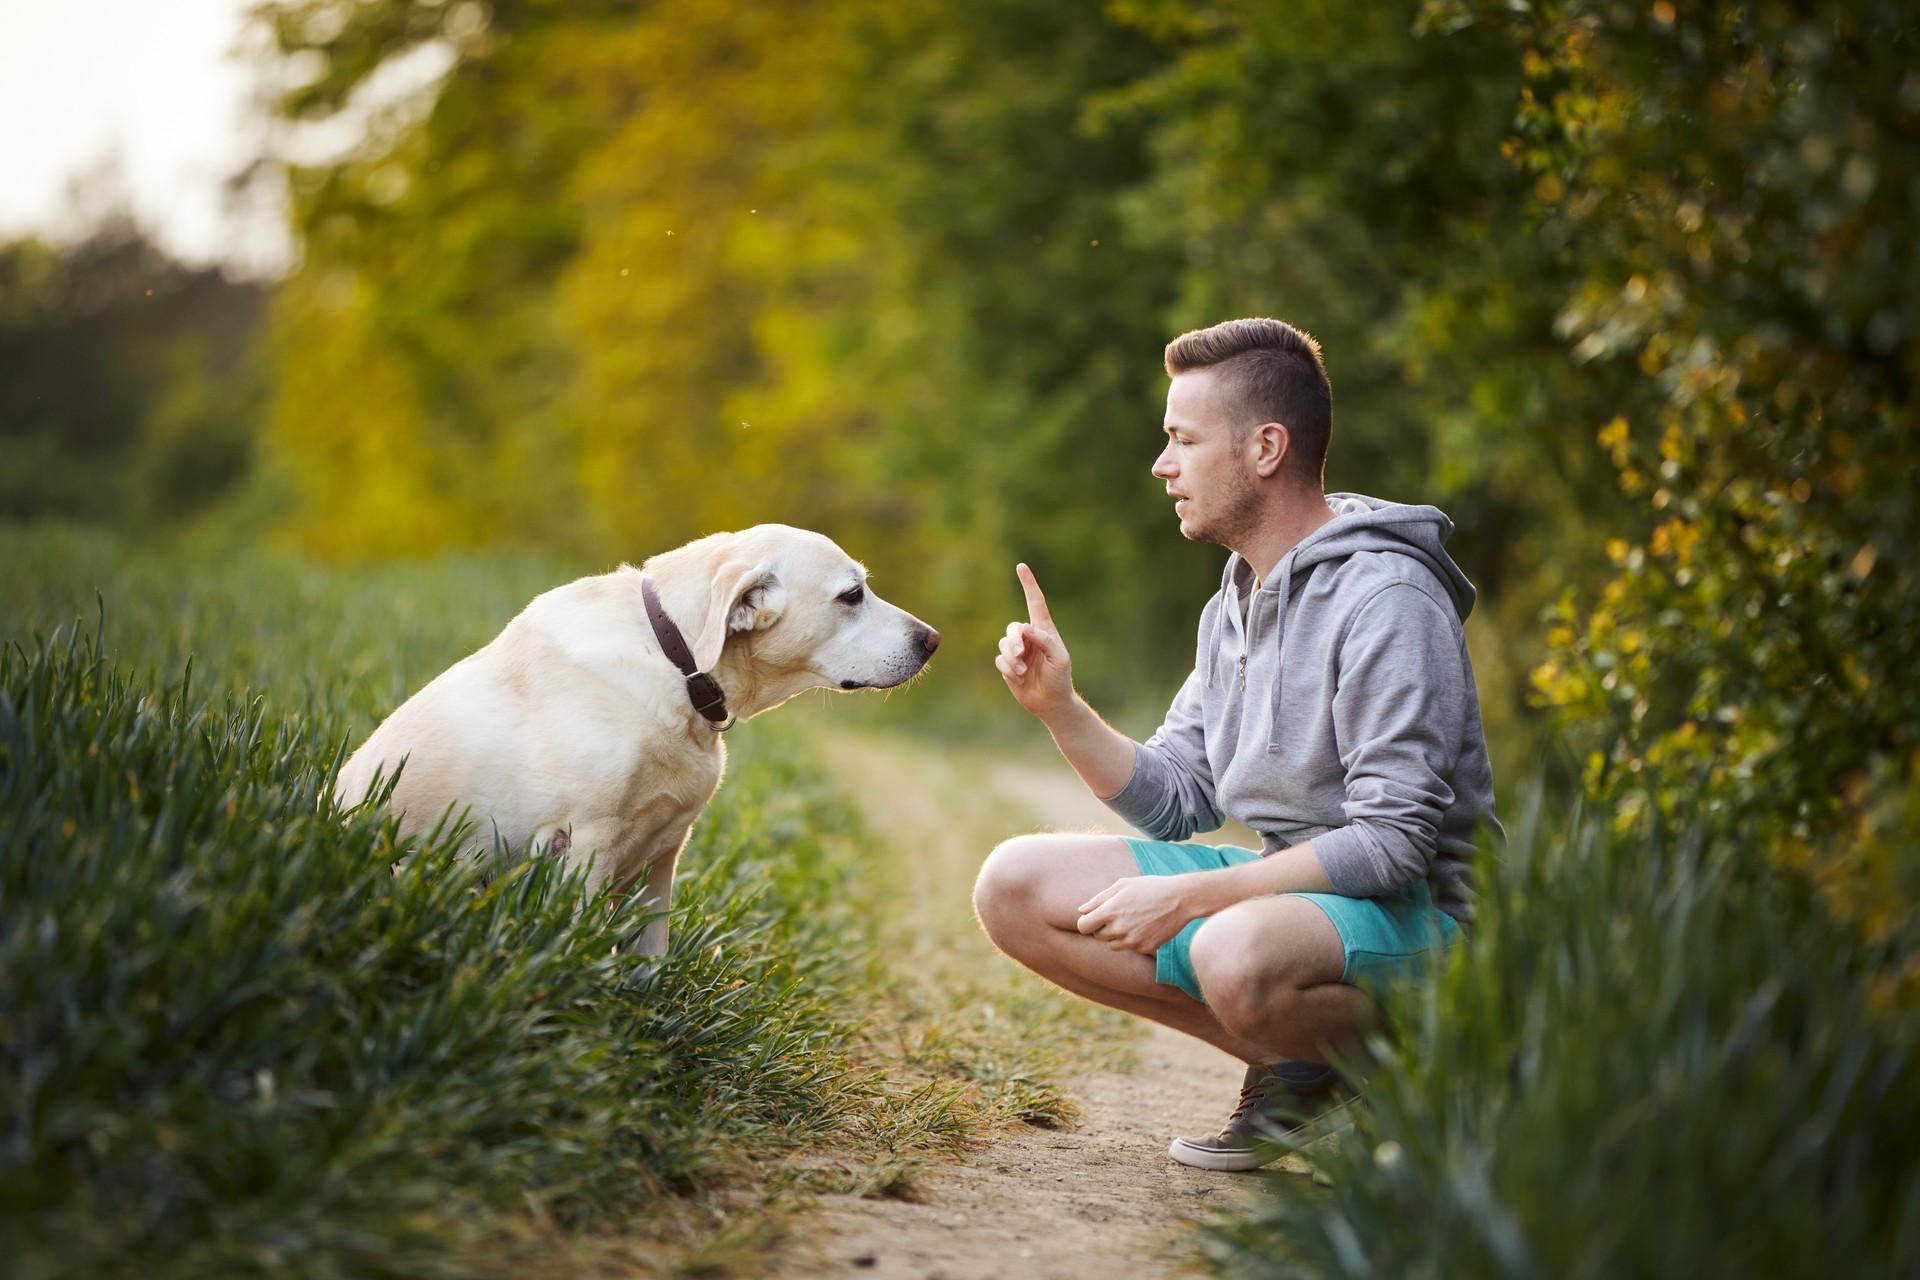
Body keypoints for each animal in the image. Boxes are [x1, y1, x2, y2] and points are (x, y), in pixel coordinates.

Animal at [334, 525, 940, 955]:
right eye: (852, 595)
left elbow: (652, 954)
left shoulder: (664, 855)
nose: (932, 640)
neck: (678, 663)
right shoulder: (586, 844)